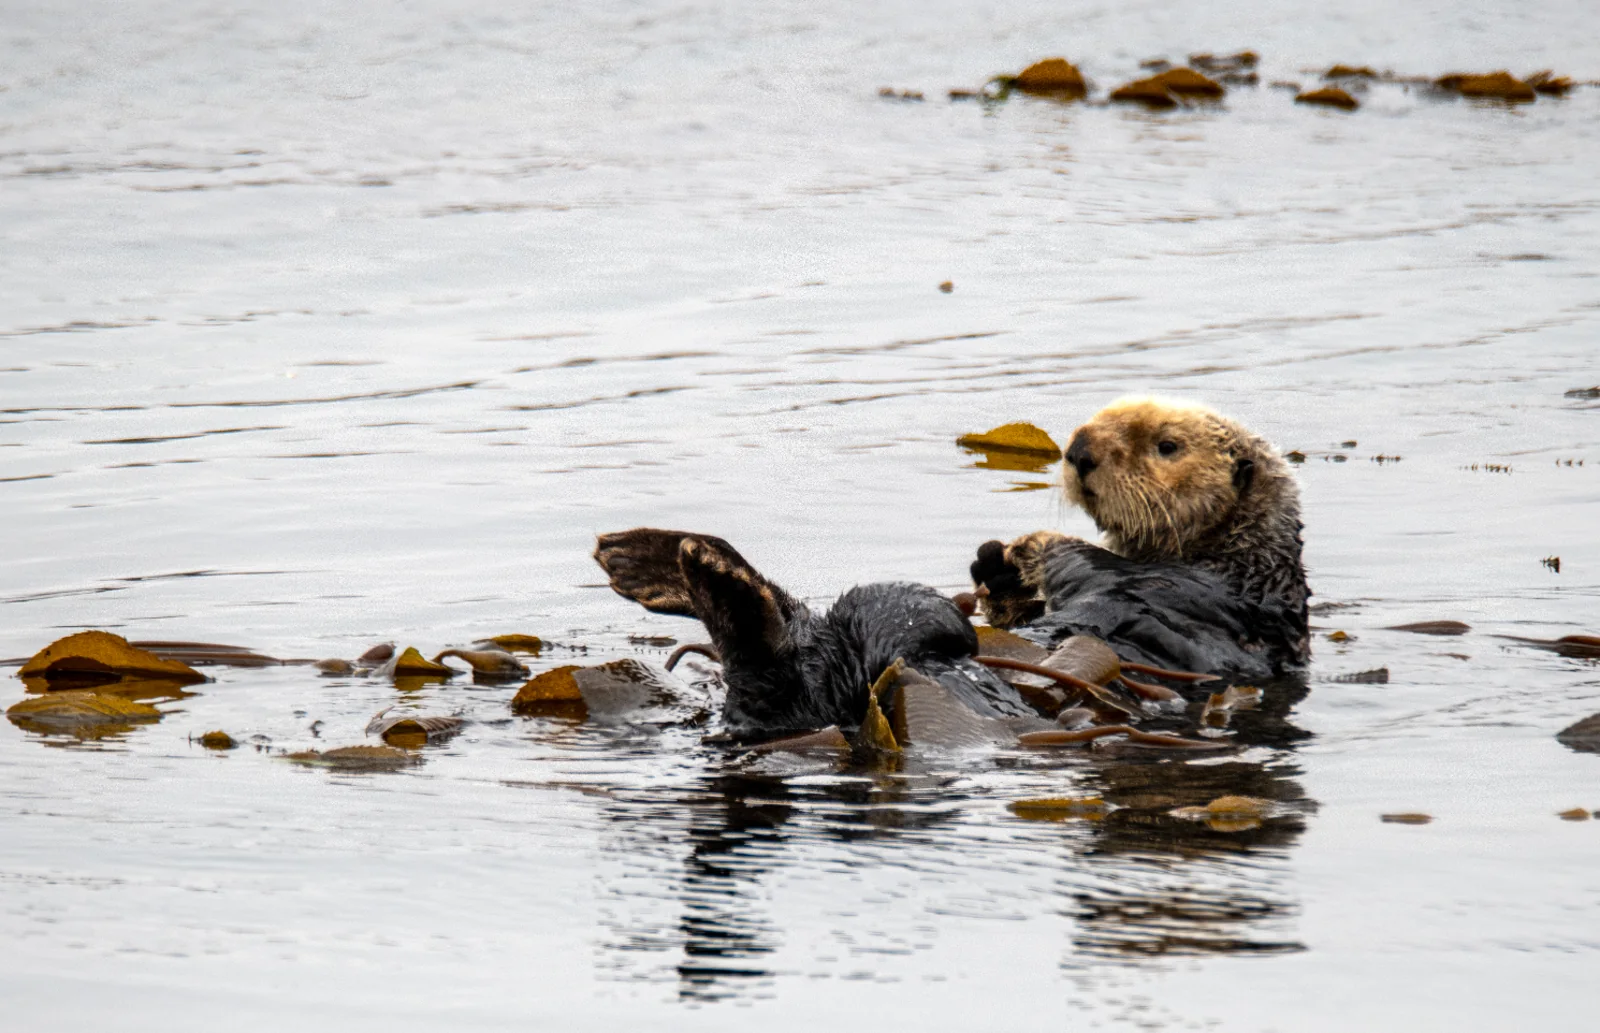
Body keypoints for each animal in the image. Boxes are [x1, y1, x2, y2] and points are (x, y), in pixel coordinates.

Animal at [970, 396, 1309, 678]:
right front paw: (996, 569)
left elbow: (1084, 562)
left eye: (1168, 446)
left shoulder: (1169, 585)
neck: (1236, 558)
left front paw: (1029, 544)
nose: (1079, 450)